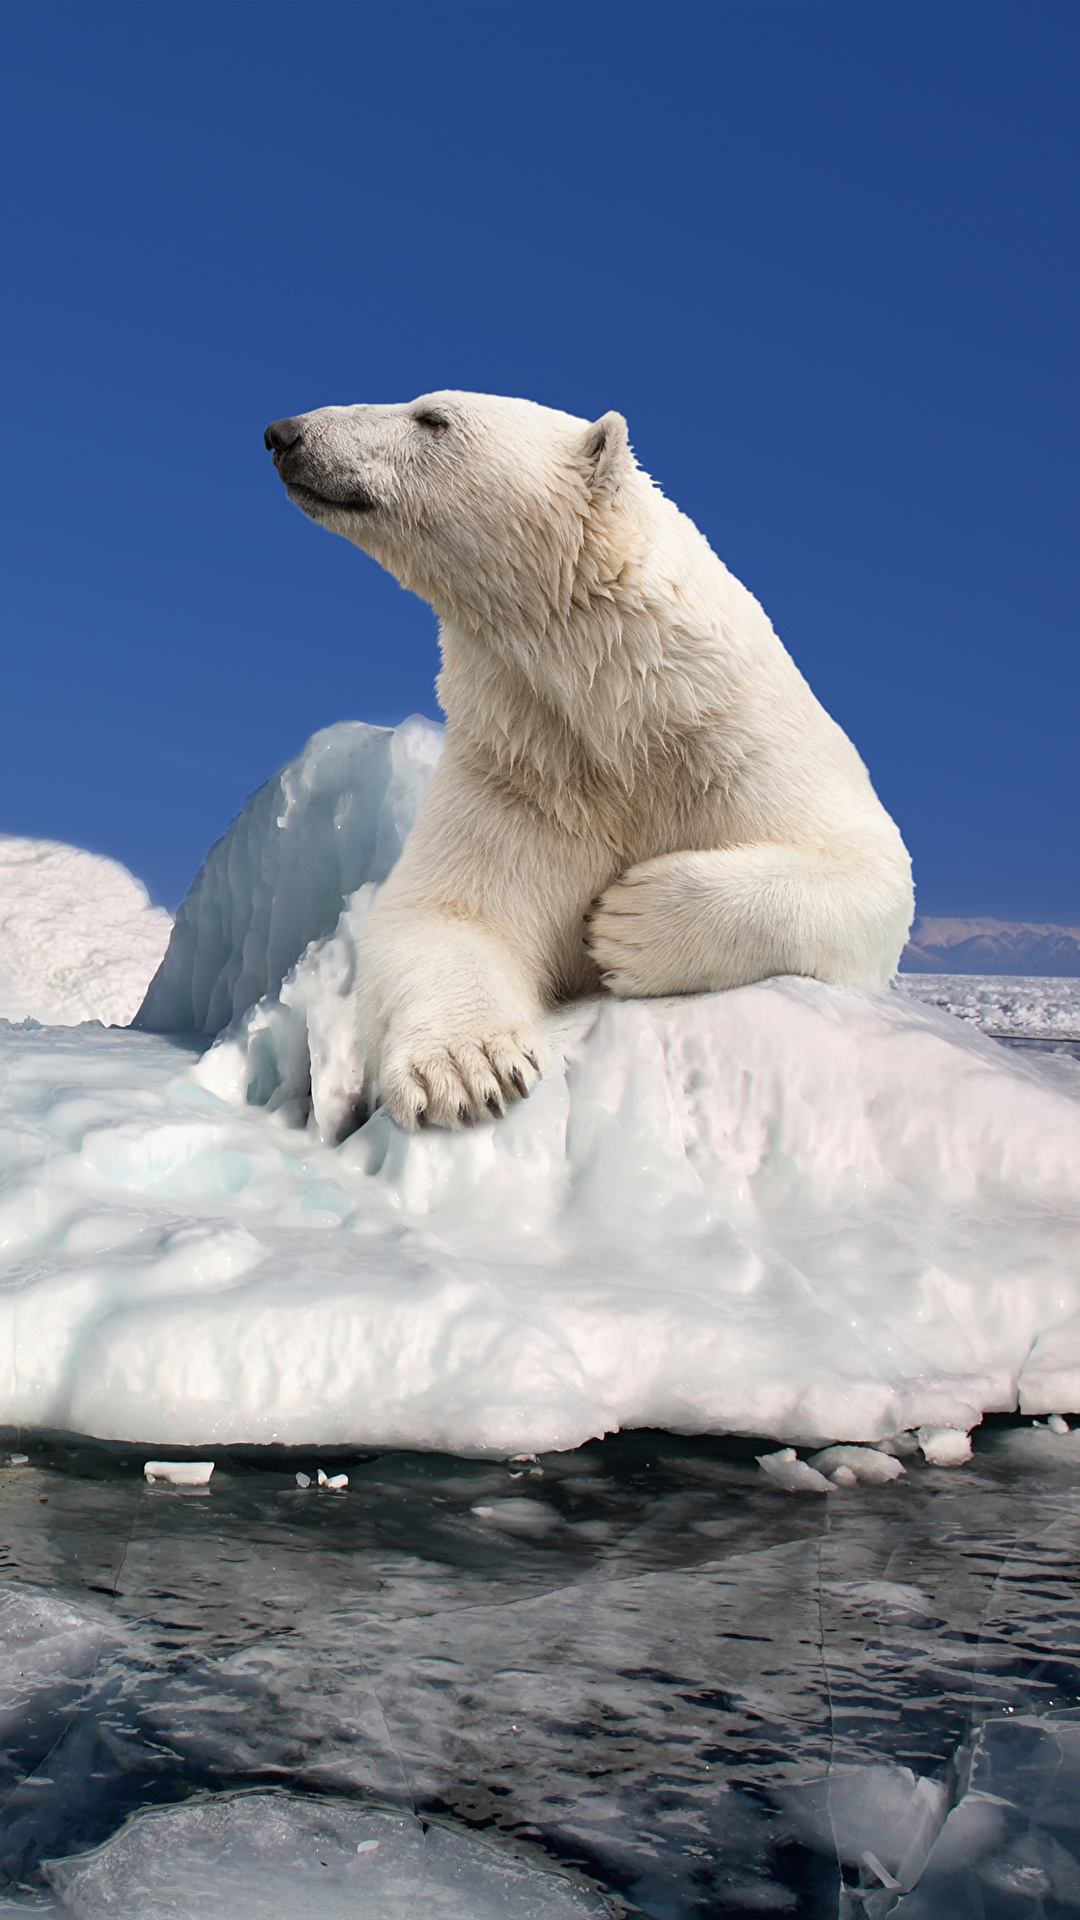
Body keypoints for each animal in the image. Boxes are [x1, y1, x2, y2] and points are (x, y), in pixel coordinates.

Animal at [264, 392, 913, 1133]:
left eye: (432, 417)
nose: (284, 434)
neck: (626, 715)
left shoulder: (743, 743)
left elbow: (867, 869)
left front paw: (629, 922)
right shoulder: (522, 767)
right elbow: (447, 913)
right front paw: (467, 1069)